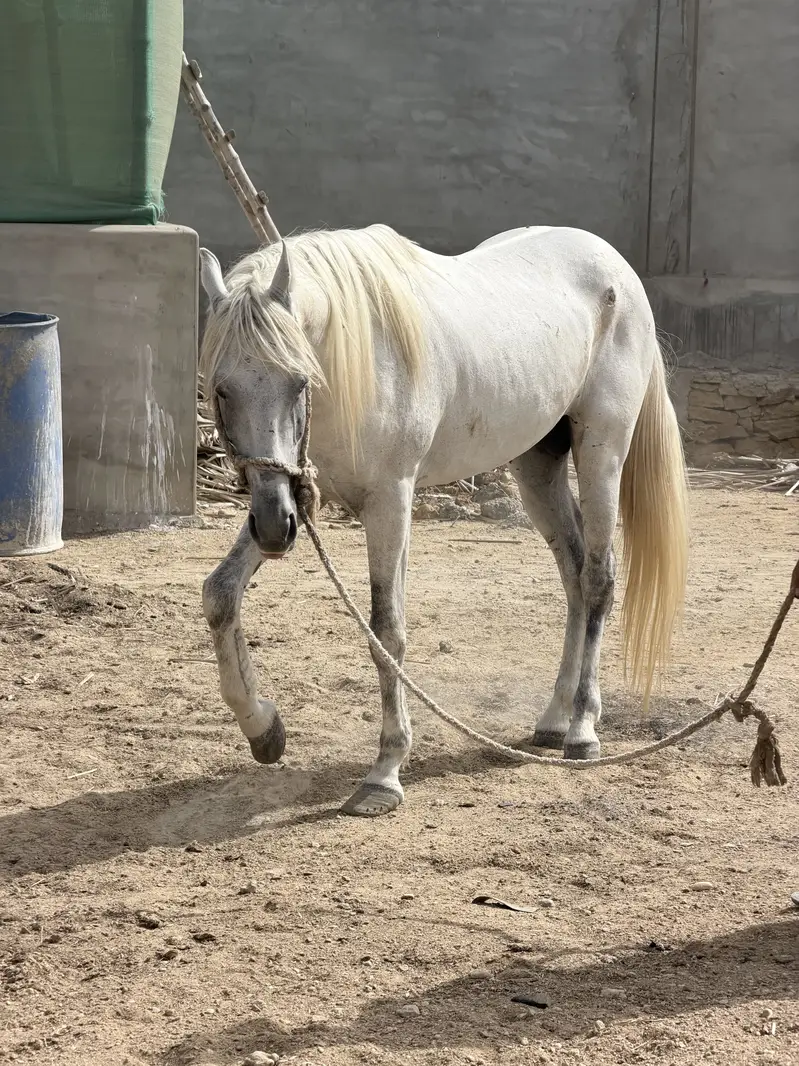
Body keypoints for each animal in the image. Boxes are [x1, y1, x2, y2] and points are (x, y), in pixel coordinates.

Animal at [198, 223, 688, 817]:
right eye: (222, 389)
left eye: (298, 381)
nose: (274, 529)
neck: (357, 356)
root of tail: (616, 266)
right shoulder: (293, 495)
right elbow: (221, 594)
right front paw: (263, 728)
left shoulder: (390, 499)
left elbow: (386, 631)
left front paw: (384, 775)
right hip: (536, 463)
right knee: (573, 576)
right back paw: (553, 721)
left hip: (602, 451)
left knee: (597, 580)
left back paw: (582, 729)